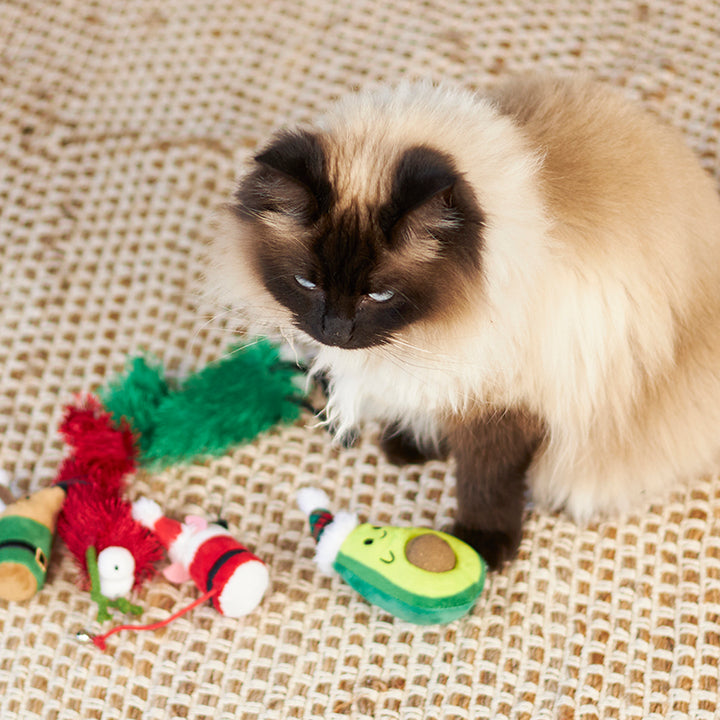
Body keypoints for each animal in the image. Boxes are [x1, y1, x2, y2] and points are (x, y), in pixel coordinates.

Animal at [208, 74, 720, 568]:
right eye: (307, 283)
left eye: (379, 294)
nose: (334, 331)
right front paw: (413, 441)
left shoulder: (506, 398)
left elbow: (486, 480)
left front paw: (482, 546)